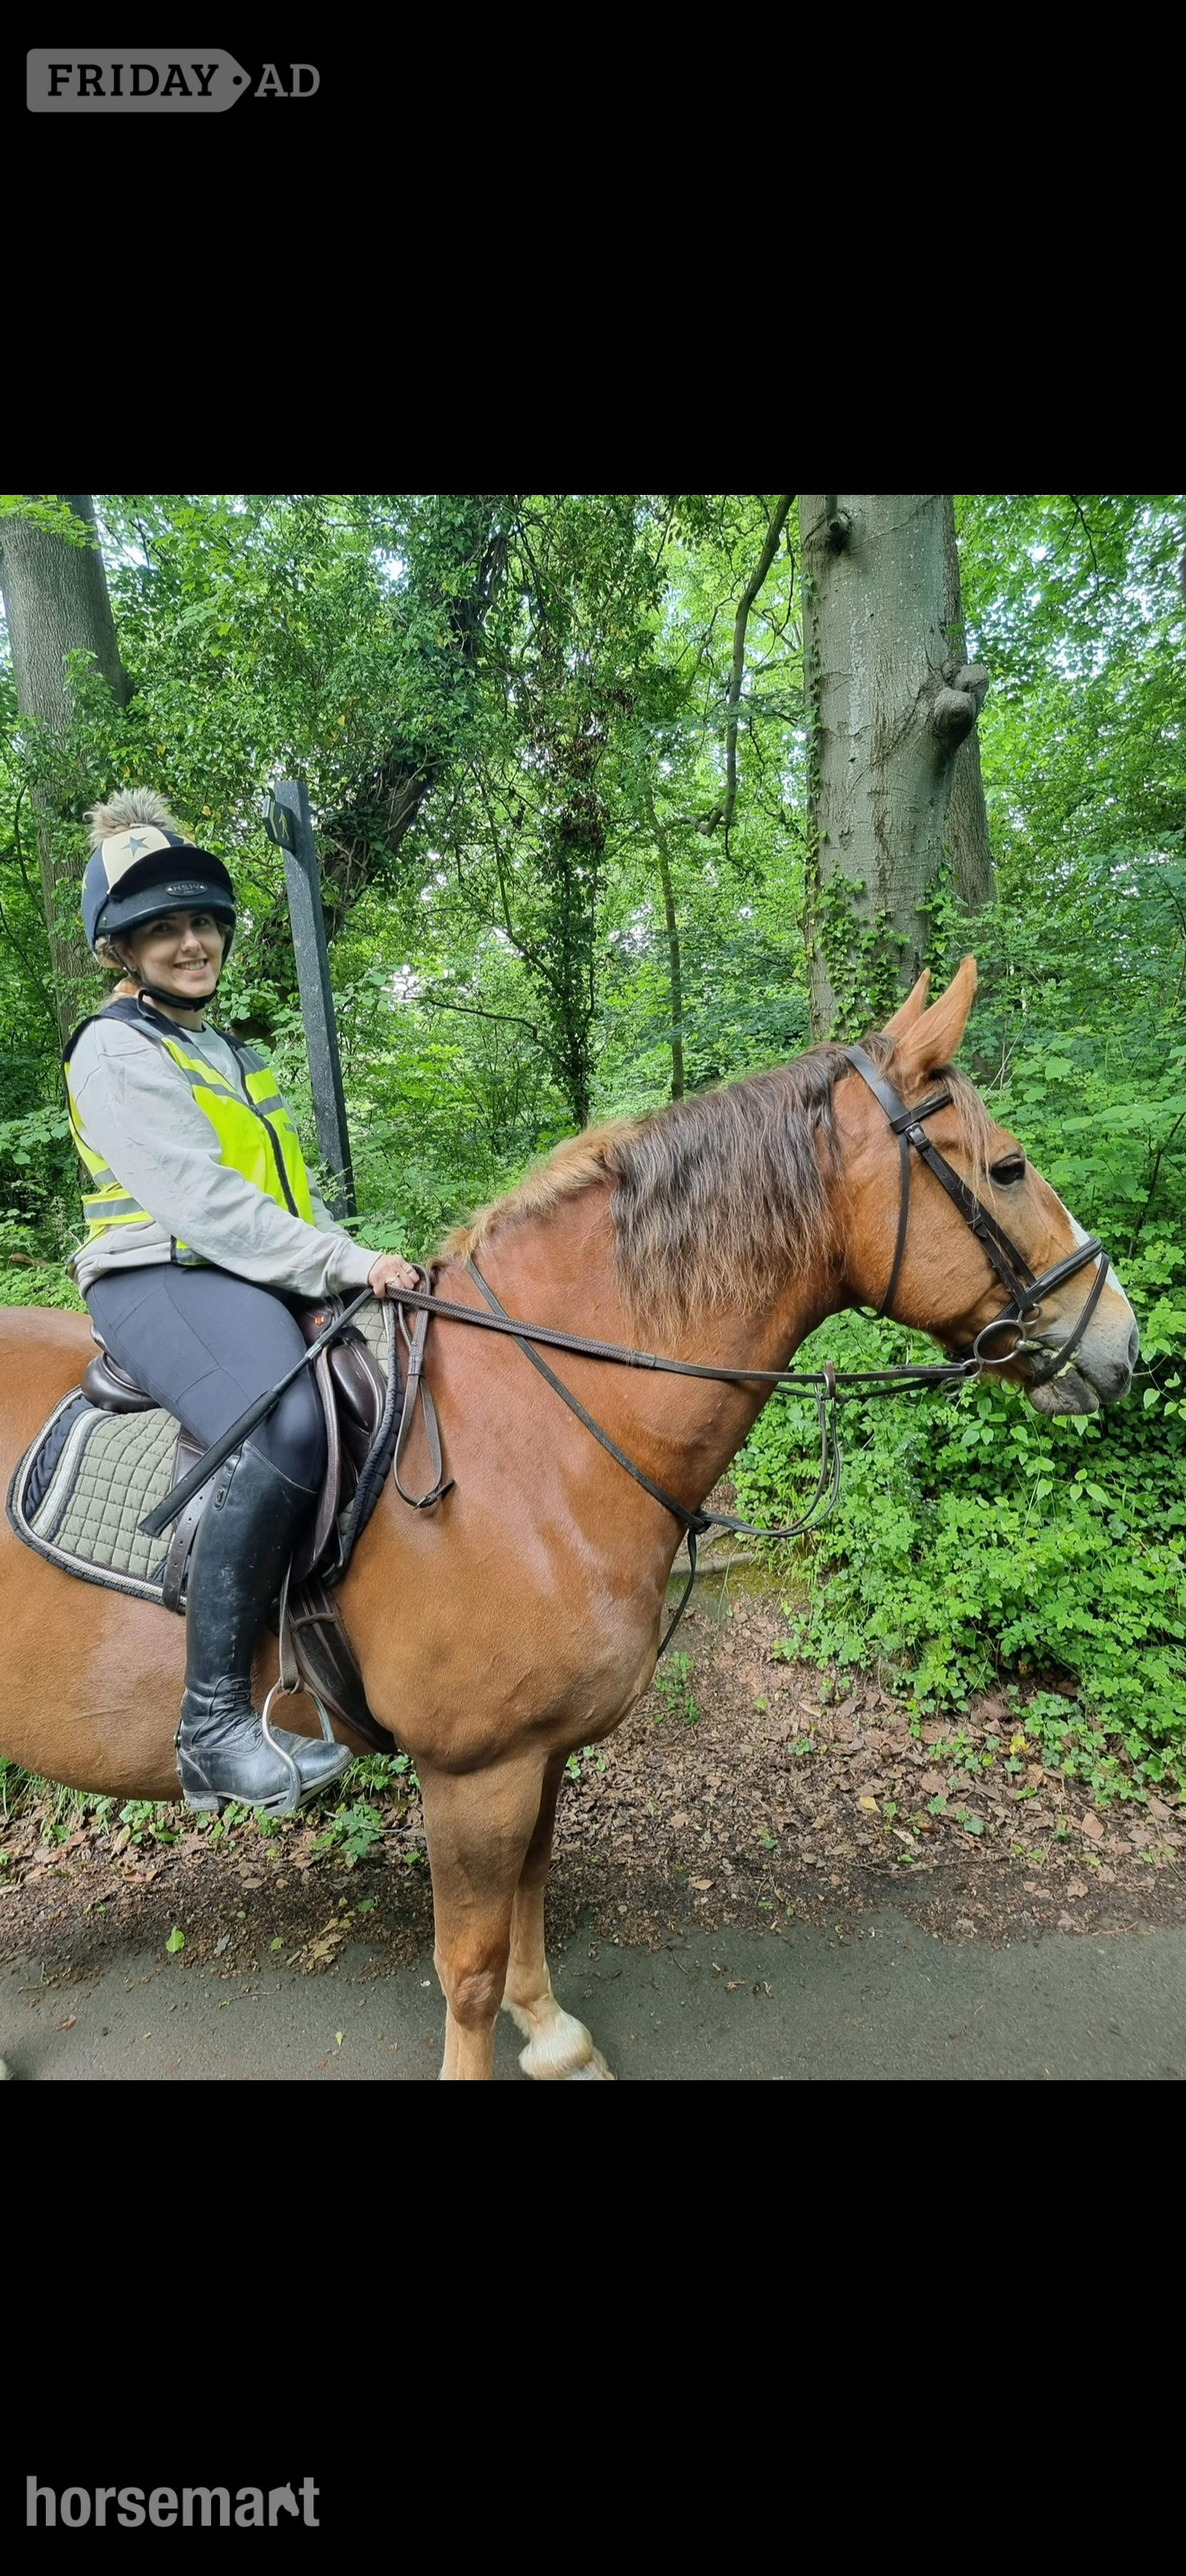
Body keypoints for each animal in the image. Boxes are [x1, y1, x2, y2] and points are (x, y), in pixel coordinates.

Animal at [0, 960, 1139, 2079]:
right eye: (1007, 1169)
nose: (1121, 1343)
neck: (535, 1432)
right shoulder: (475, 1771)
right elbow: (467, 1967)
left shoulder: (538, 1755)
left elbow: (532, 1902)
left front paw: (552, 2037)